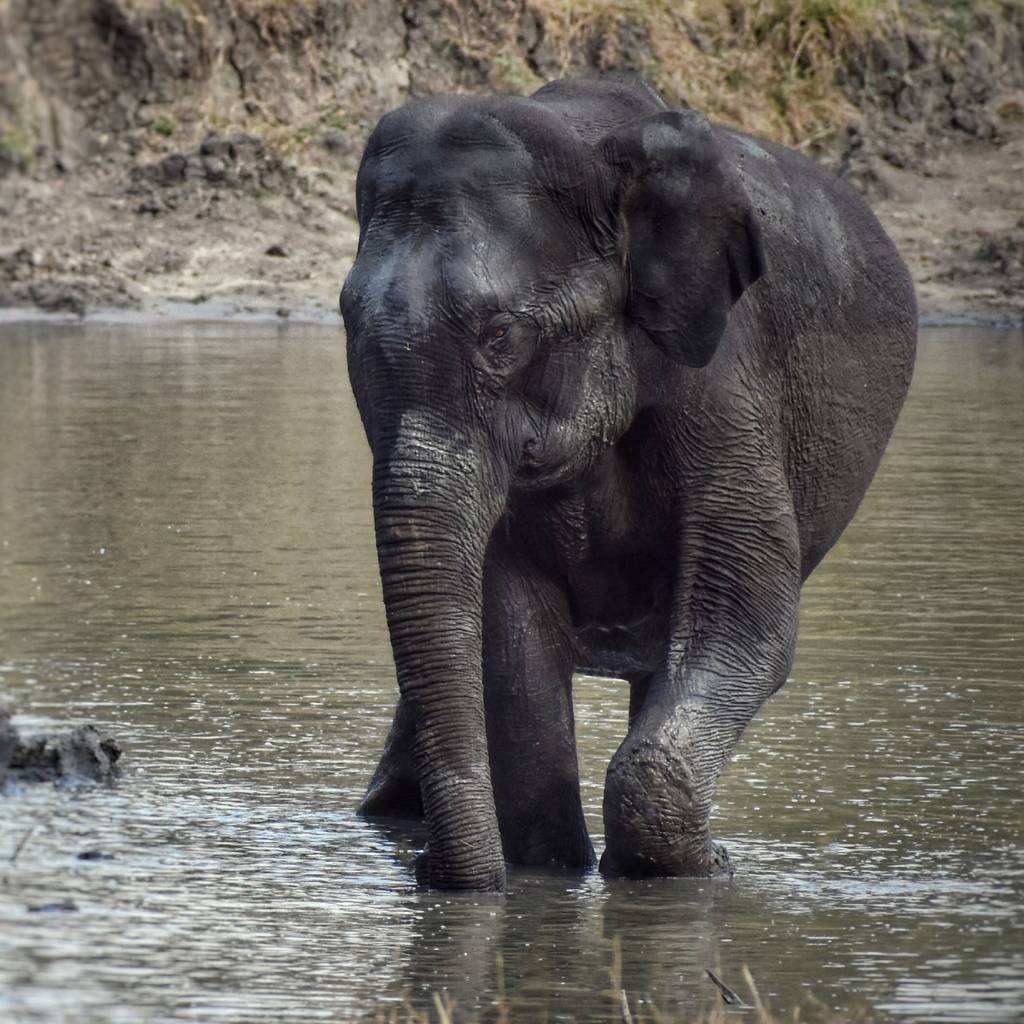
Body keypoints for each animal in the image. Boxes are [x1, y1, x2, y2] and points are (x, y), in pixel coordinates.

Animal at [339, 74, 917, 888]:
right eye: (344, 323)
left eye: (499, 335)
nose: (425, 871)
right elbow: (510, 640)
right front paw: (551, 879)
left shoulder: (725, 374)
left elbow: (749, 615)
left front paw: (706, 870)